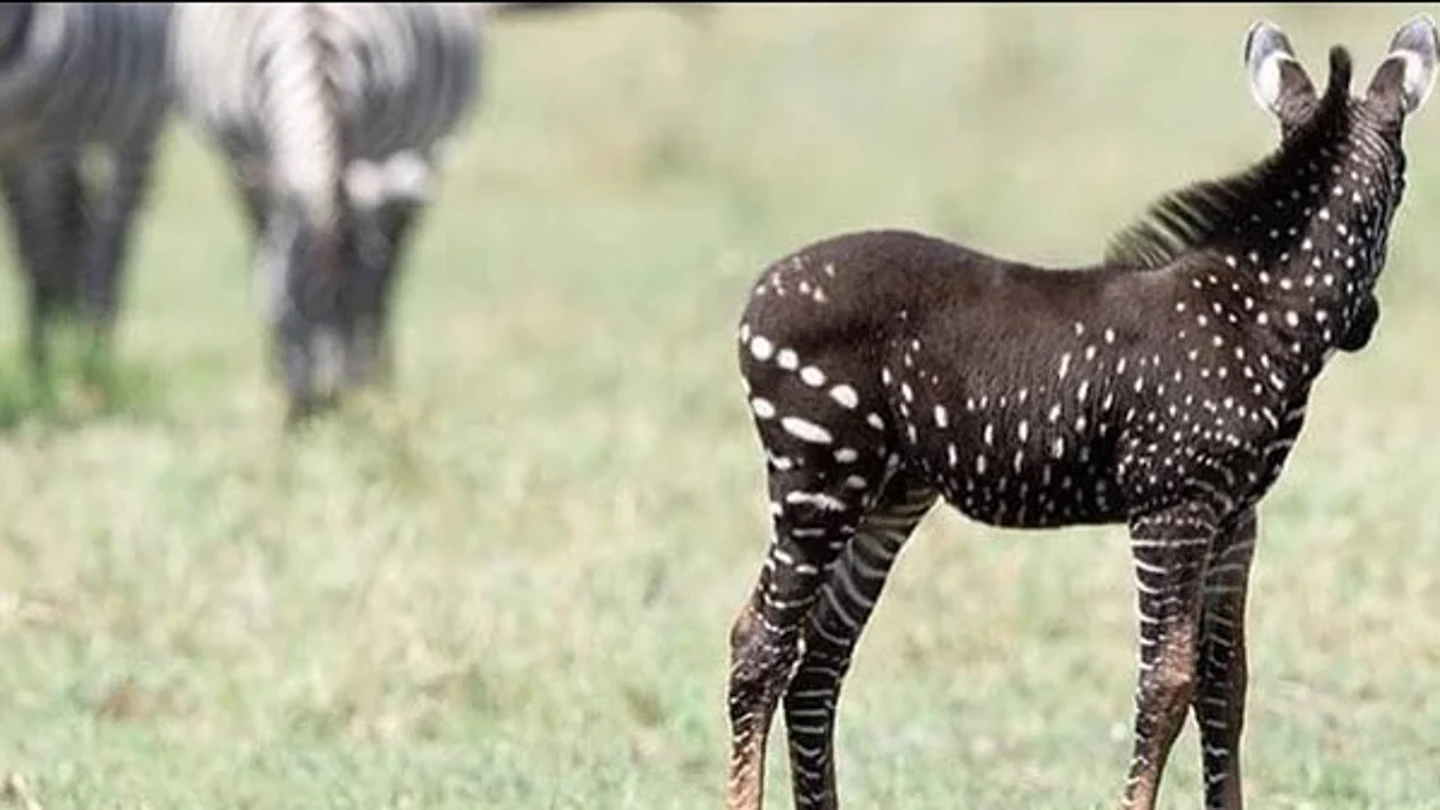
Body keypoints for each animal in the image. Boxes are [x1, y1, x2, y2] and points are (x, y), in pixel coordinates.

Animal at [0, 2, 175, 383]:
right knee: (84, 232)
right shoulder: (14, 159)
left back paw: (97, 350)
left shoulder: (49, 148)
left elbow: (45, 258)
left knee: (110, 242)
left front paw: (44, 373)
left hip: (137, 132)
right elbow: (34, 253)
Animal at [168, 3, 483, 421]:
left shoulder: (376, 154)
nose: (326, 403)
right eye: (286, 306)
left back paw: (380, 377)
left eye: (356, 307)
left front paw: (365, 381)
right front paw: (278, 373)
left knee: (394, 264)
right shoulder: (245, 159)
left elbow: (377, 276)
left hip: (424, 154)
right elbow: (264, 251)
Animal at [725, 14, 1436, 810]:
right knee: (759, 646)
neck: (1255, 316)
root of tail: (760, 291)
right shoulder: (1172, 508)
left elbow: (1227, 687)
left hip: (886, 495)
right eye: (1401, 191)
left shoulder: (1236, 518)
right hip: (816, 478)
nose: (1367, 324)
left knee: (819, 660)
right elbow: (1167, 684)